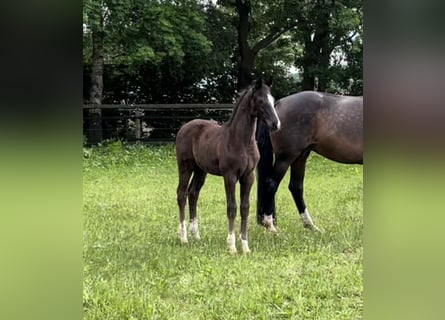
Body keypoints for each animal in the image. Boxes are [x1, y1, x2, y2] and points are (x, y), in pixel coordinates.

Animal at [175, 79, 280, 254]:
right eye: (260, 101)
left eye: (272, 100)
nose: (276, 124)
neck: (241, 141)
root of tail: (184, 127)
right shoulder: (229, 176)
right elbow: (232, 207)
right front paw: (232, 246)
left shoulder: (248, 177)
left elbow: (245, 208)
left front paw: (245, 246)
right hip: (185, 166)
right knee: (181, 194)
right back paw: (183, 237)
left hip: (200, 171)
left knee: (193, 193)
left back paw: (196, 235)